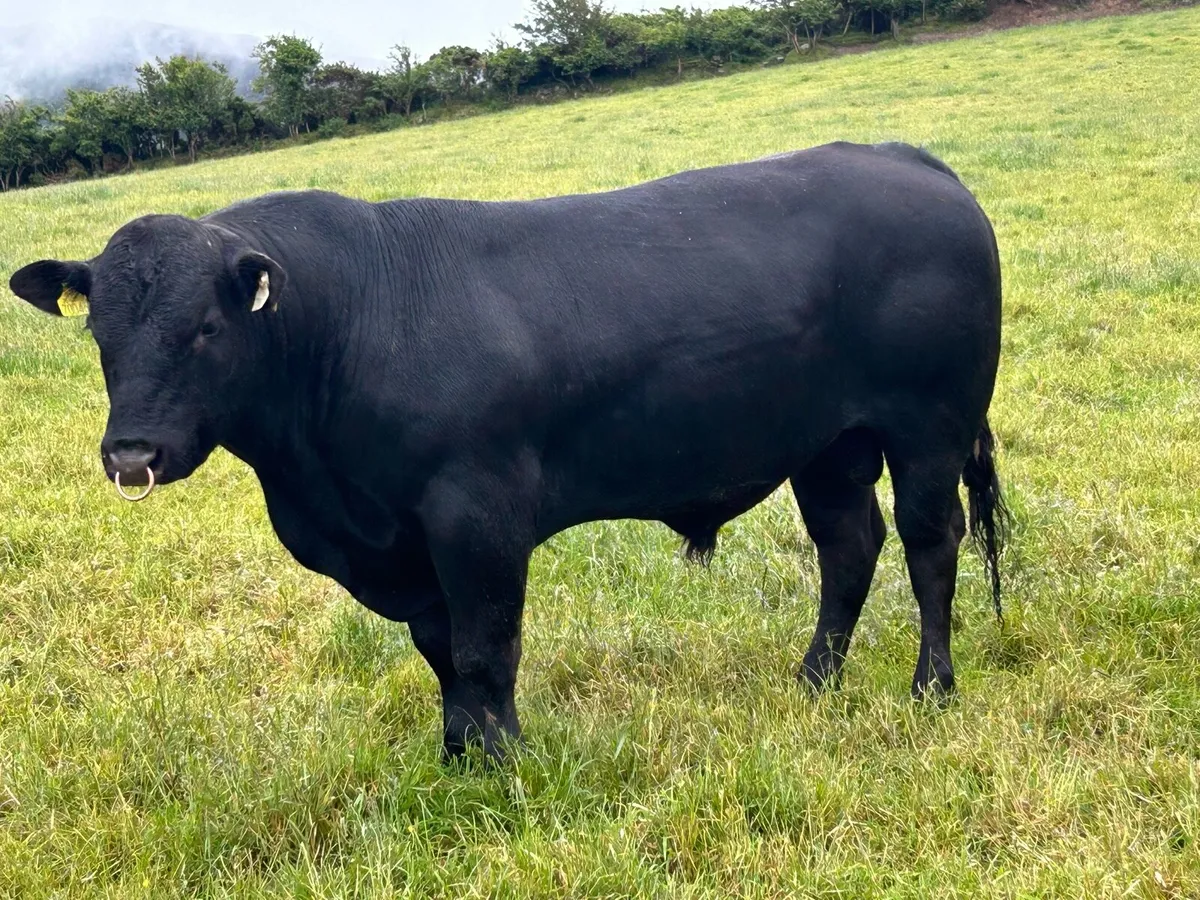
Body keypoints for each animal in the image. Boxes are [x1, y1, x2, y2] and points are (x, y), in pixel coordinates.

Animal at [8, 141, 1008, 762]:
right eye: (99, 328)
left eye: (208, 328)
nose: (131, 453)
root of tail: (903, 158)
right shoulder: (402, 547)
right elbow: (442, 652)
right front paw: (459, 754)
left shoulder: (475, 515)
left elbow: (488, 647)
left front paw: (506, 763)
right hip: (828, 446)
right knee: (848, 549)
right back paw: (813, 683)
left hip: (928, 427)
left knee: (930, 546)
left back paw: (932, 687)